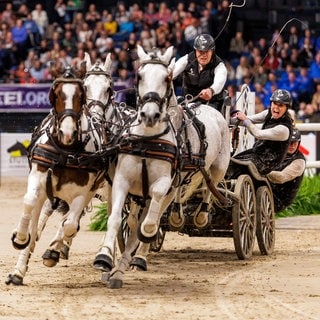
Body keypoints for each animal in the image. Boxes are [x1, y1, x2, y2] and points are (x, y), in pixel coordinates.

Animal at [93, 45, 230, 288]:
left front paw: (140, 245)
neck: (148, 140)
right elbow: (116, 219)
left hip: (216, 168)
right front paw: (104, 259)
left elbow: (149, 222)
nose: (149, 114)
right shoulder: (120, 182)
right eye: (139, 76)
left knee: (209, 188)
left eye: (167, 78)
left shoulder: (163, 183)